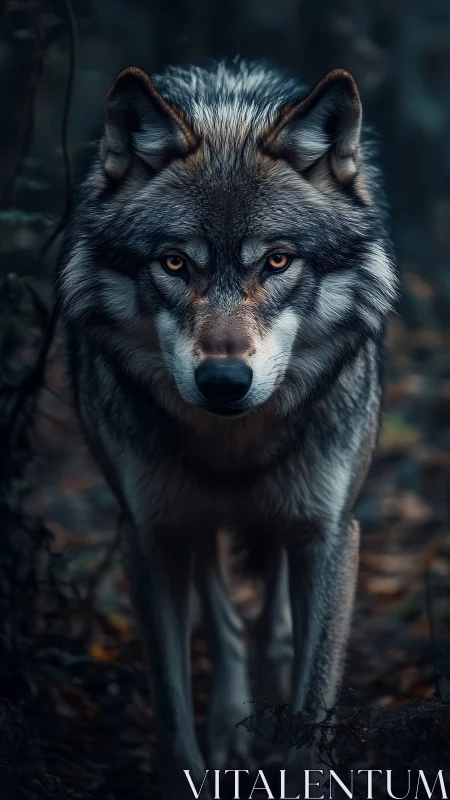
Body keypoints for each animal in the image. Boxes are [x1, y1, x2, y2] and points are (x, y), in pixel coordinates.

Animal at [55, 58, 397, 798]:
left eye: (277, 261)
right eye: (174, 262)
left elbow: (314, 696)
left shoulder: (329, 531)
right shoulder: (150, 535)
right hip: (193, 520)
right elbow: (171, 706)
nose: (222, 382)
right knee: (228, 619)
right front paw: (195, 758)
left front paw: (293, 757)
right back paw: (233, 724)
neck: (233, 447)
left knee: (269, 625)